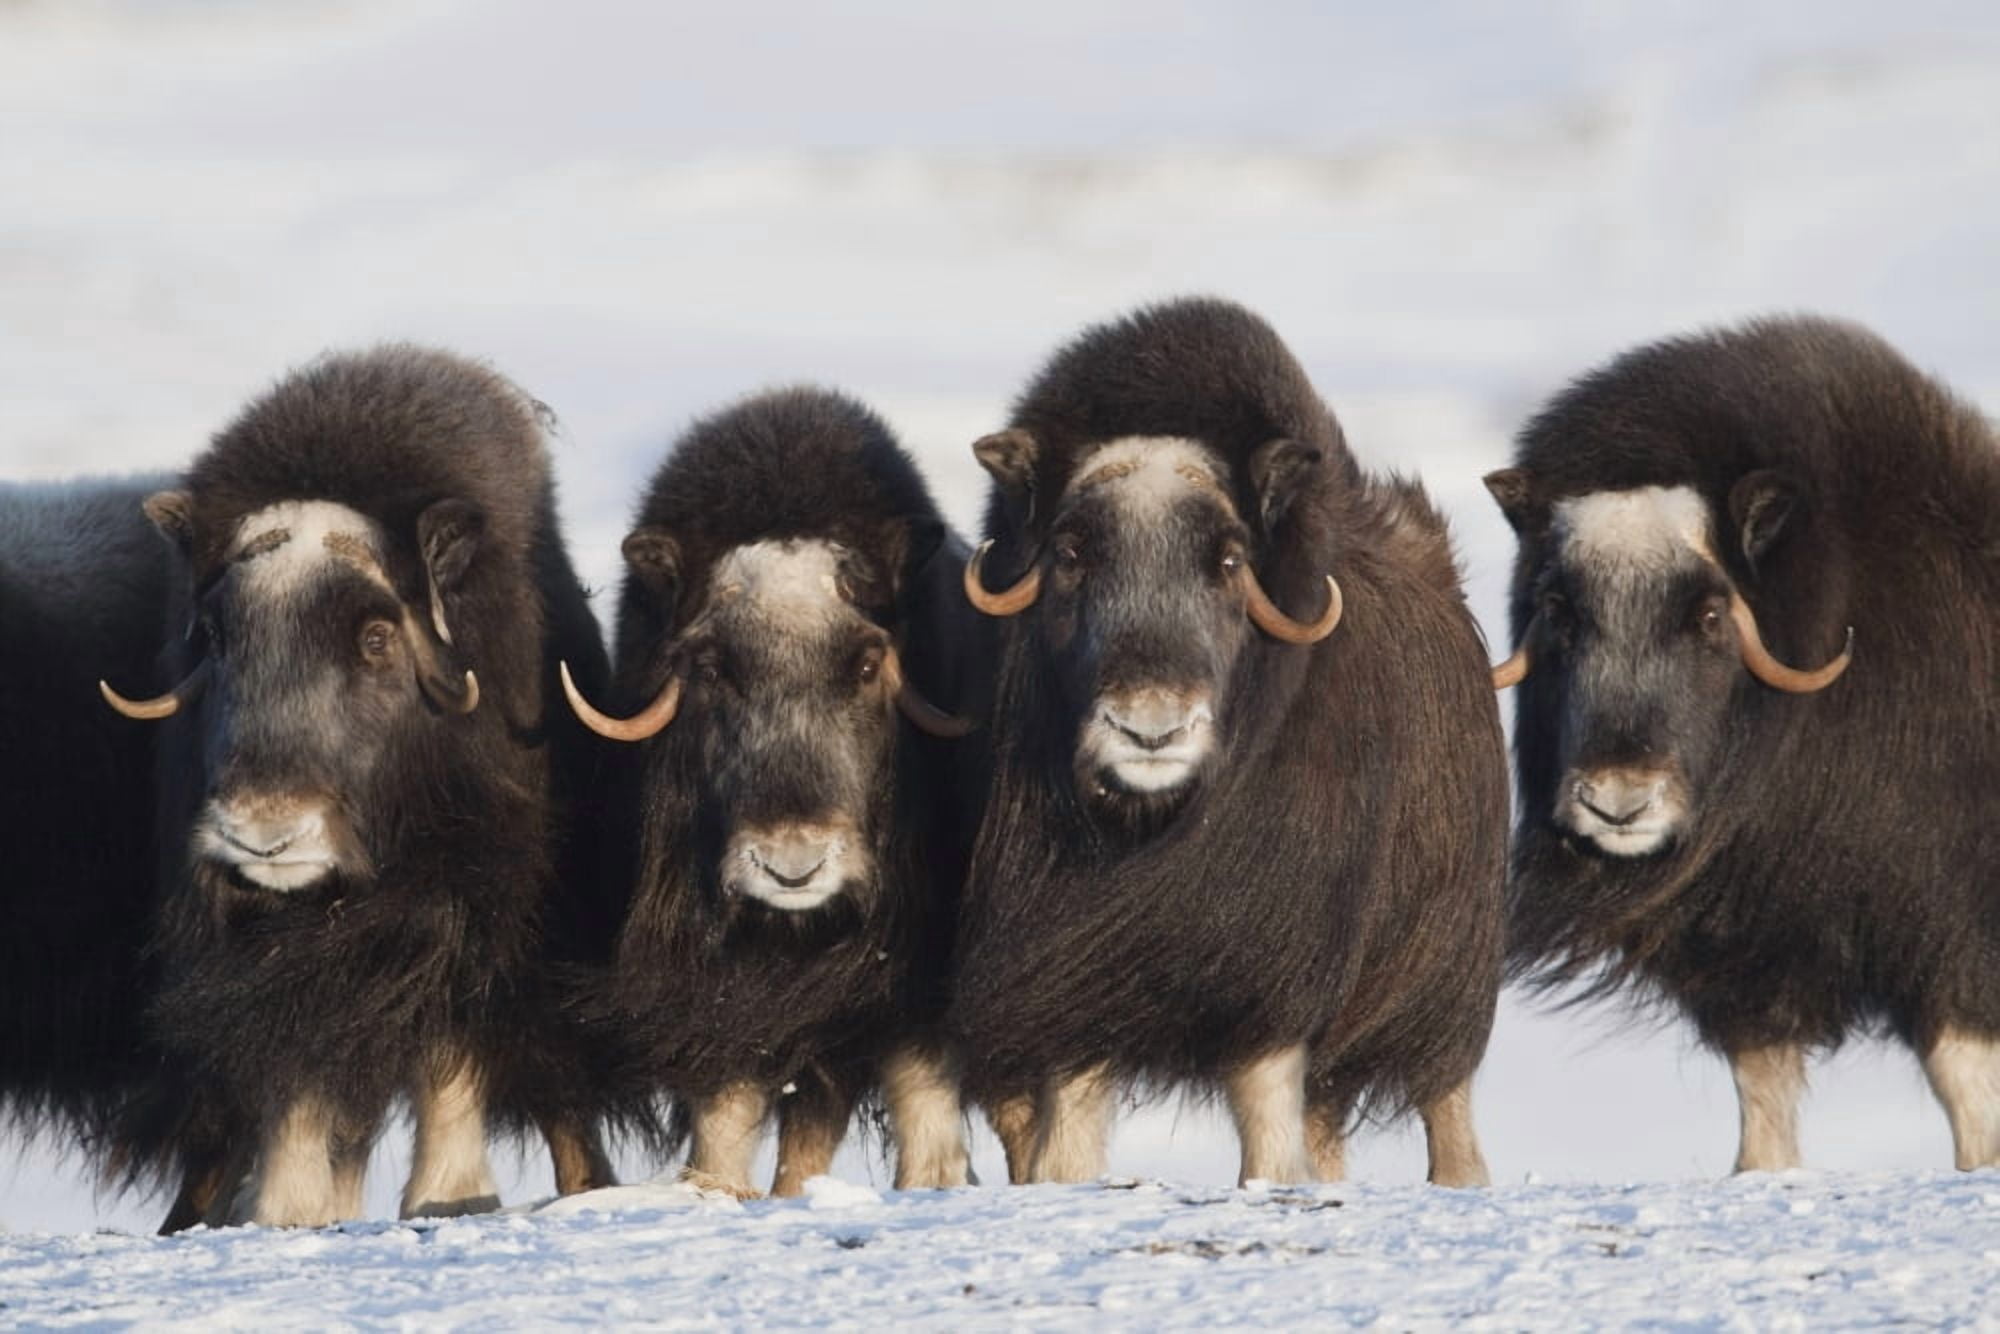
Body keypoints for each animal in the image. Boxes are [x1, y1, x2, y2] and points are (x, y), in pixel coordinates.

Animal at [100, 346, 620, 1225]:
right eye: (217, 636)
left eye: (376, 636)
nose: (262, 833)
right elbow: (296, 1070)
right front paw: (288, 1213)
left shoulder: (471, 904)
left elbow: (450, 1049)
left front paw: (452, 1201)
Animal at [948, 297, 1508, 1188]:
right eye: (1070, 552)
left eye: (1229, 558)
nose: (1150, 727)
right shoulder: (1069, 1000)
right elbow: (1066, 1151)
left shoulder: (1273, 999)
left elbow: (1269, 1145)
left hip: (1444, 997)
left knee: (1448, 1117)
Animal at [1487, 315, 2000, 1172]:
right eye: (1559, 608)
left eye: (1708, 616)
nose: (1617, 803)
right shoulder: (1745, 957)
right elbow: (1763, 1100)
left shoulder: (1950, 934)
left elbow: (1969, 1094)